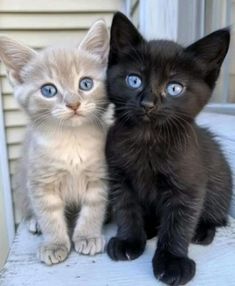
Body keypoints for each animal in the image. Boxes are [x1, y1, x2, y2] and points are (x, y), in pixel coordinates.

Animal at [0, 19, 110, 266]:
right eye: (48, 90)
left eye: (85, 84)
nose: (74, 104)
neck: (71, 141)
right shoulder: (41, 182)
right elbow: (49, 214)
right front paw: (55, 244)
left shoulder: (100, 177)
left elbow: (93, 208)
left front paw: (87, 236)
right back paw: (34, 222)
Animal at [105, 11, 232, 286]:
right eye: (134, 80)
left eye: (174, 87)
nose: (148, 103)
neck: (147, 139)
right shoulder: (119, 178)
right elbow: (126, 209)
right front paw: (129, 241)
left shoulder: (188, 185)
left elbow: (178, 224)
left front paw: (173, 262)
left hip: (220, 183)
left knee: (216, 216)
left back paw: (202, 230)